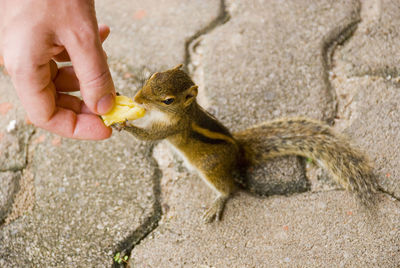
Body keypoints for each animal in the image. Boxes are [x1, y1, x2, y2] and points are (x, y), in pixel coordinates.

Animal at [113, 64, 378, 222]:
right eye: (154, 76)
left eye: (168, 100)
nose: (137, 97)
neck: (182, 111)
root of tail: (239, 151)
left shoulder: (171, 127)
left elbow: (148, 136)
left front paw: (124, 125)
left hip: (211, 169)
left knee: (227, 189)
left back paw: (217, 203)